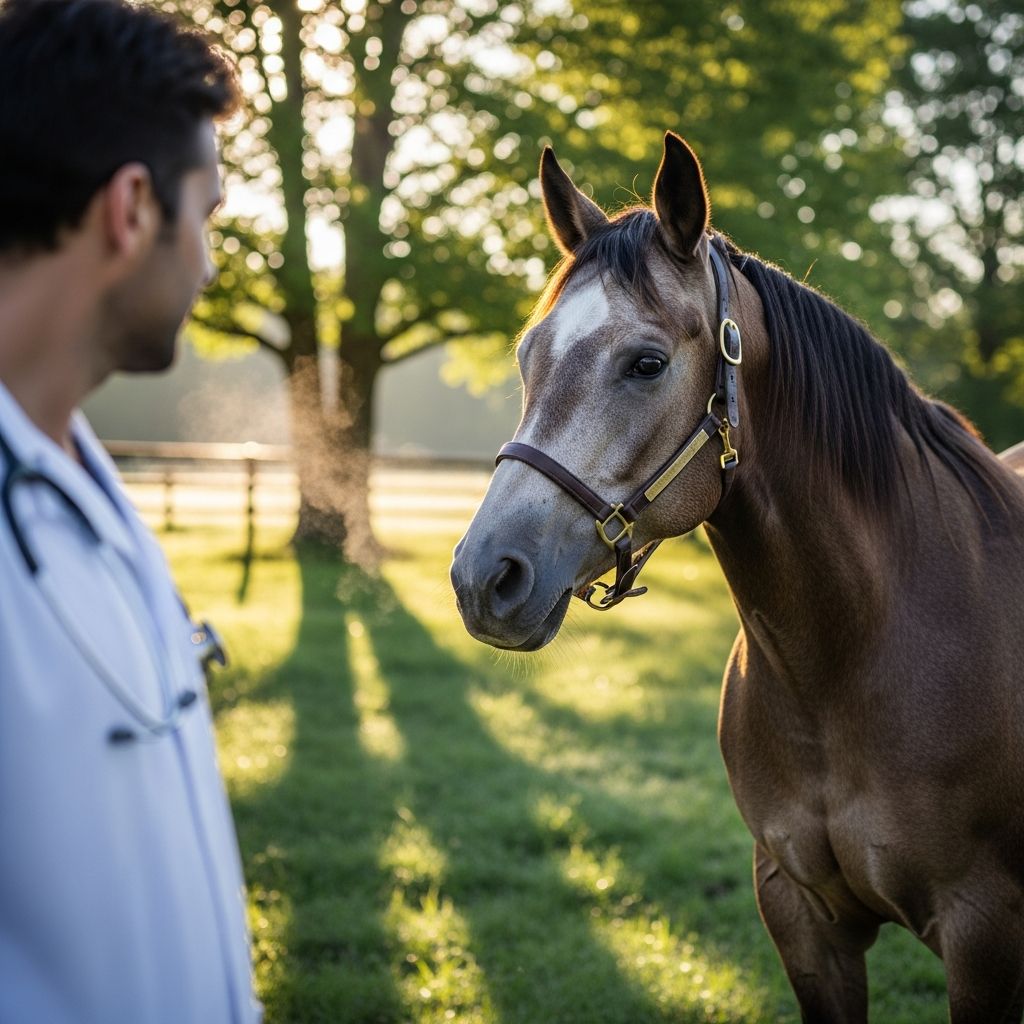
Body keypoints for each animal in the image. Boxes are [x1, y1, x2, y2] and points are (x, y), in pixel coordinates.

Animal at [450, 132, 1024, 1023]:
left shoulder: (983, 932)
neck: (857, 657)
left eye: (647, 363)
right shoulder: (801, 915)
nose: (485, 577)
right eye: (526, 355)